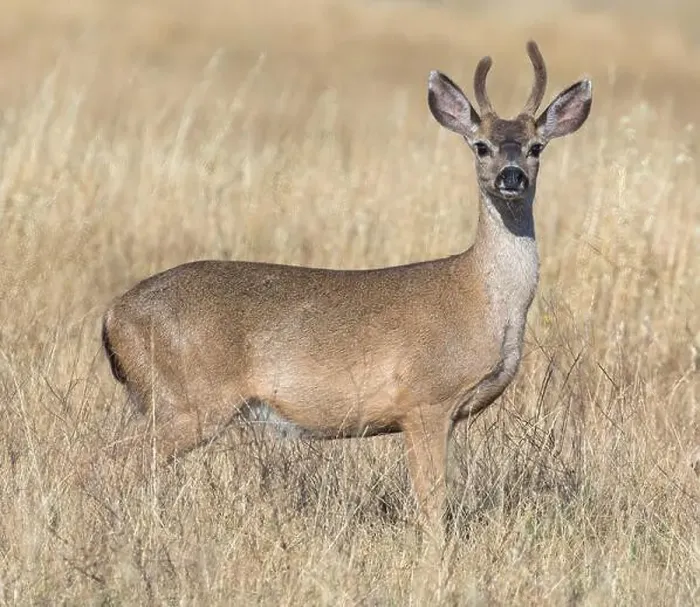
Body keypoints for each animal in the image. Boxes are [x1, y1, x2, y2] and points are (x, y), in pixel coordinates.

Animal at [101, 41, 592, 534]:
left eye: (535, 146)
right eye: (481, 145)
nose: (511, 176)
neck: (483, 299)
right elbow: (432, 503)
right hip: (186, 398)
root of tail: (113, 315)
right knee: (108, 462)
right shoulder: (424, 399)